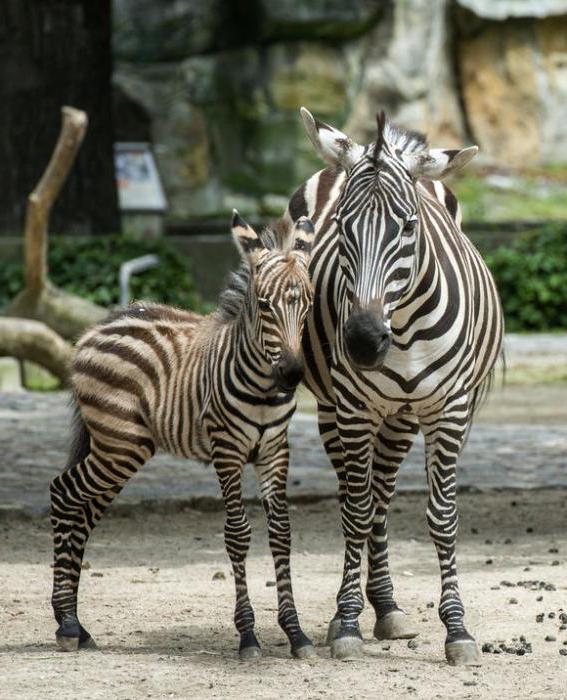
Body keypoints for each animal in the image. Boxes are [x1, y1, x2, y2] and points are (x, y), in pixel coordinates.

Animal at [50, 211, 318, 660]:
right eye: (264, 305)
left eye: (309, 304)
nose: (293, 375)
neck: (263, 387)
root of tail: (98, 326)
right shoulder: (227, 449)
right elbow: (238, 535)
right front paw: (248, 636)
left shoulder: (275, 452)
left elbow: (281, 533)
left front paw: (296, 633)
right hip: (119, 444)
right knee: (62, 494)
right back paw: (67, 623)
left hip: (119, 449)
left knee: (82, 512)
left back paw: (77, 626)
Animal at [286, 106, 504, 664]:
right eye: (341, 225)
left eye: (408, 226)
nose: (364, 342)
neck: (400, 326)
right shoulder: (353, 408)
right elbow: (356, 511)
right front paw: (345, 623)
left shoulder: (449, 409)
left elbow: (441, 516)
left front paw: (457, 630)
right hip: (336, 412)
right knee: (358, 495)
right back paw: (362, 609)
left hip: (403, 416)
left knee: (382, 493)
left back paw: (386, 608)